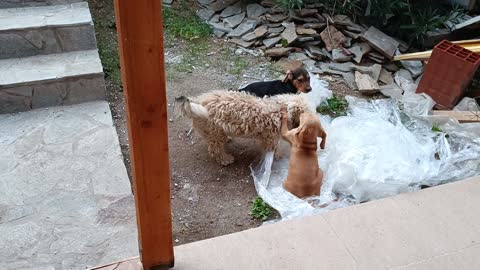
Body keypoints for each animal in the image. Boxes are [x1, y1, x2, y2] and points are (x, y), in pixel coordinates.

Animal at [177, 90, 312, 166]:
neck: (280, 109)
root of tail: (196, 102)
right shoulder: (269, 138)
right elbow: (273, 149)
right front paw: (278, 156)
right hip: (215, 133)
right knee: (215, 150)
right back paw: (225, 159)